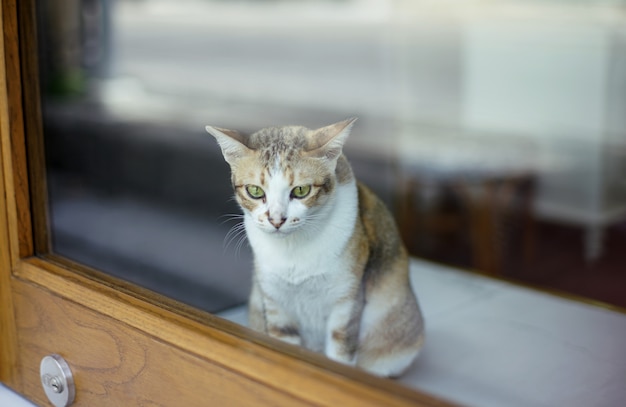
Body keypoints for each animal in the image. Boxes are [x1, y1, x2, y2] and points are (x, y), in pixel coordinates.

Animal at [206, 118, 424, 380]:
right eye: (255, 191)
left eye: (301, 191)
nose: (276, 220)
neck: (293, 251)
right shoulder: (276, 302)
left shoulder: (347, 301)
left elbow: (340, 354)